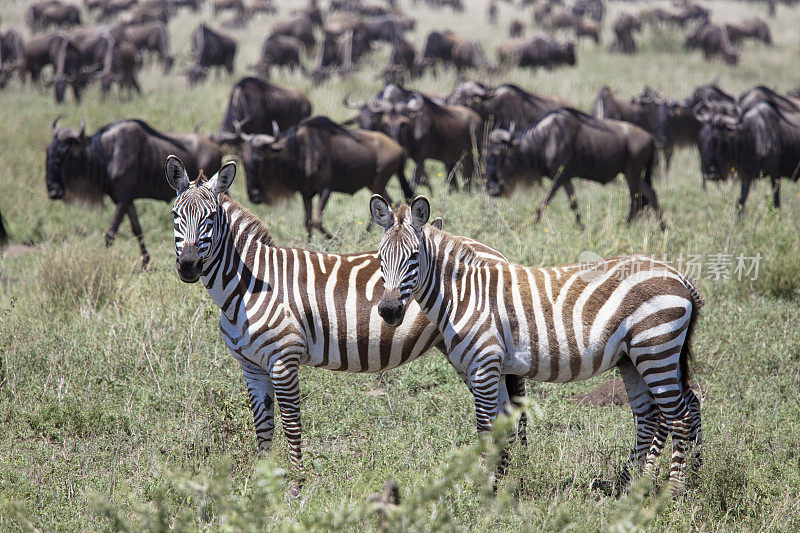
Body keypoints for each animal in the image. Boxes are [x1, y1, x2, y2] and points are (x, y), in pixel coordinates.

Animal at [164, 156, 524, 484]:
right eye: (175, 215)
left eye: (211, 218)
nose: (189, 266)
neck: (247, 287)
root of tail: (497, 253)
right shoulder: (251, 366)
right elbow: (263, 430)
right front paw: (262, 489)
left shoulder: (283, 360)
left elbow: (291, 426)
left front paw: (295, 489)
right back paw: (508, 480)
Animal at [370, 194, 708, 494]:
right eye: (380, 258)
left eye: (413, 257)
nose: (388, 311)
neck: (463, 295)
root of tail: (678, 275)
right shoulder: (494, 367)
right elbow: (502, 426)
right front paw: (502, 483)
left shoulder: (483, 365)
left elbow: (485, 429)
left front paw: (485, 489)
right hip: (635, 358)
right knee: (655, 414)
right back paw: (636, 485)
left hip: (655, 349)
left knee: (678, 415)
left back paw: (674, 491)